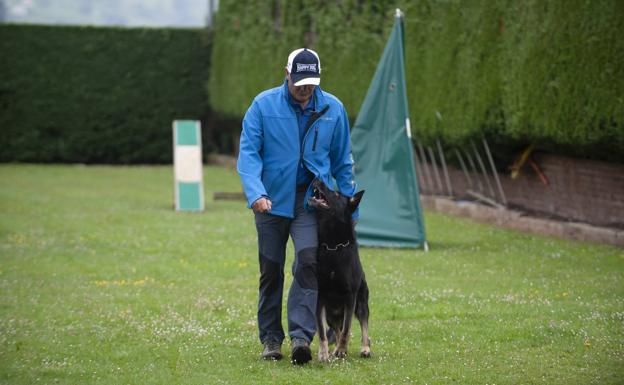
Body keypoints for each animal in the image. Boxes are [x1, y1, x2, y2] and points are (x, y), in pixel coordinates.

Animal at [308, 178, 370, 360]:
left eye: (336, 194)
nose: (316, 177)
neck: (333, 246)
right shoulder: (320, 298)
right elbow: (322, 331)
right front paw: (324, 353)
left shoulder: (350, 296)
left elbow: (347, 329)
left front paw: (342, 350)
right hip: (331, 314)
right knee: (336, 329)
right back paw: (334, 350)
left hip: (361, 304)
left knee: (363, 326)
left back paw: (365, 348)